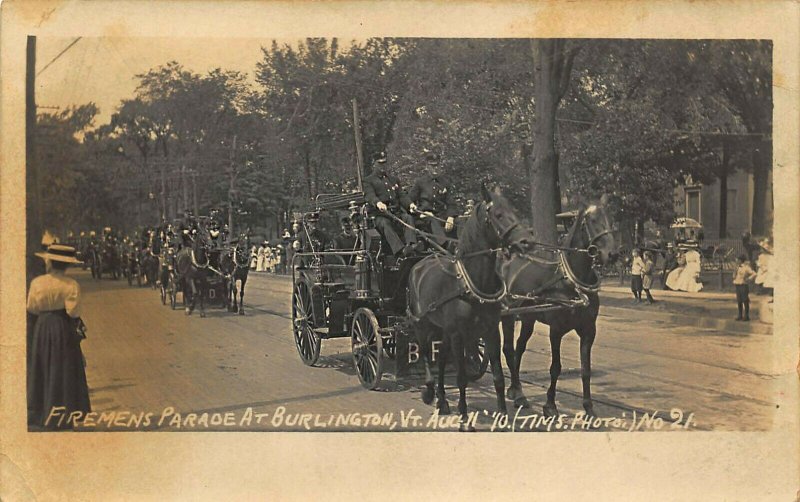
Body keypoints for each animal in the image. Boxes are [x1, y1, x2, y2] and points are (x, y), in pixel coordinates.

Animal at [410, 183, 536, 428]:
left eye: (514, 211)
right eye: (498, 214)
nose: (527, 241)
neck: (474, 283)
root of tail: (421, 263)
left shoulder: (490, 331)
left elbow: (498, 376)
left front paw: (503, 416)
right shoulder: (459, 335)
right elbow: (461, 378)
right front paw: (465, 419)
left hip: (443, 330)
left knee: (441, 359)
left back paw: (442, 400)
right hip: (422, 325)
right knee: (426, 354)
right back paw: (429, 392)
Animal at [500, 202, 620, 418]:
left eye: (611, 219)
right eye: (592, 220)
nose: (612, 254)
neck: (571, 281)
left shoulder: (589, 331)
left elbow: (586, 369)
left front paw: (588, 407)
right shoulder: (555, 331)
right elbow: (555, 367)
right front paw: (550, 405)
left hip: (528, 318)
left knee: (519, 347)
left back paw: (516, 389)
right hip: (508, 316)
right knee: (508, 348)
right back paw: (518, 393)